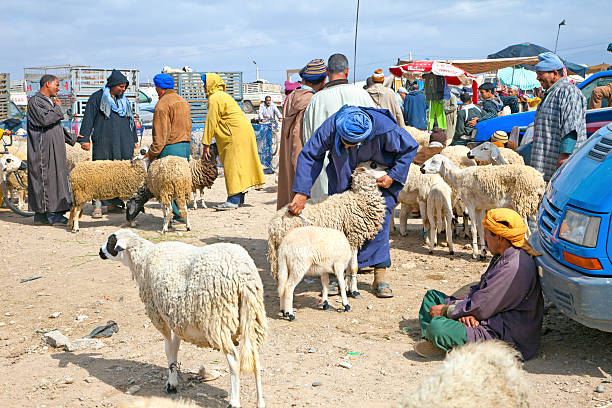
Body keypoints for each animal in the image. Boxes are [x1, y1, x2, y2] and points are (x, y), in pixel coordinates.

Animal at [100, 230, 268, 408]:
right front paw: (173, 380)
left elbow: (168, 349)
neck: (143, 258)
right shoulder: (177, 319)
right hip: (252, 318)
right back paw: (260, 402)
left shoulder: (160, 317)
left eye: (110, 242)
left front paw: (171, 383)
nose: (100, 251)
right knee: (255, 359)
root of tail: (243, 276)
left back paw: (234, 402)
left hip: (218, 321)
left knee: (235, 360)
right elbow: (175, 348)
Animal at [268, 164, 388, 298]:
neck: (359, 198)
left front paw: (347, 288)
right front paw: (354, 291)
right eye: (373, 165)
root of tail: (273, 226)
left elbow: (349, 268)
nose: (388, 168)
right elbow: (354, 267)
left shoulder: (350, 241)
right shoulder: (353, 238)